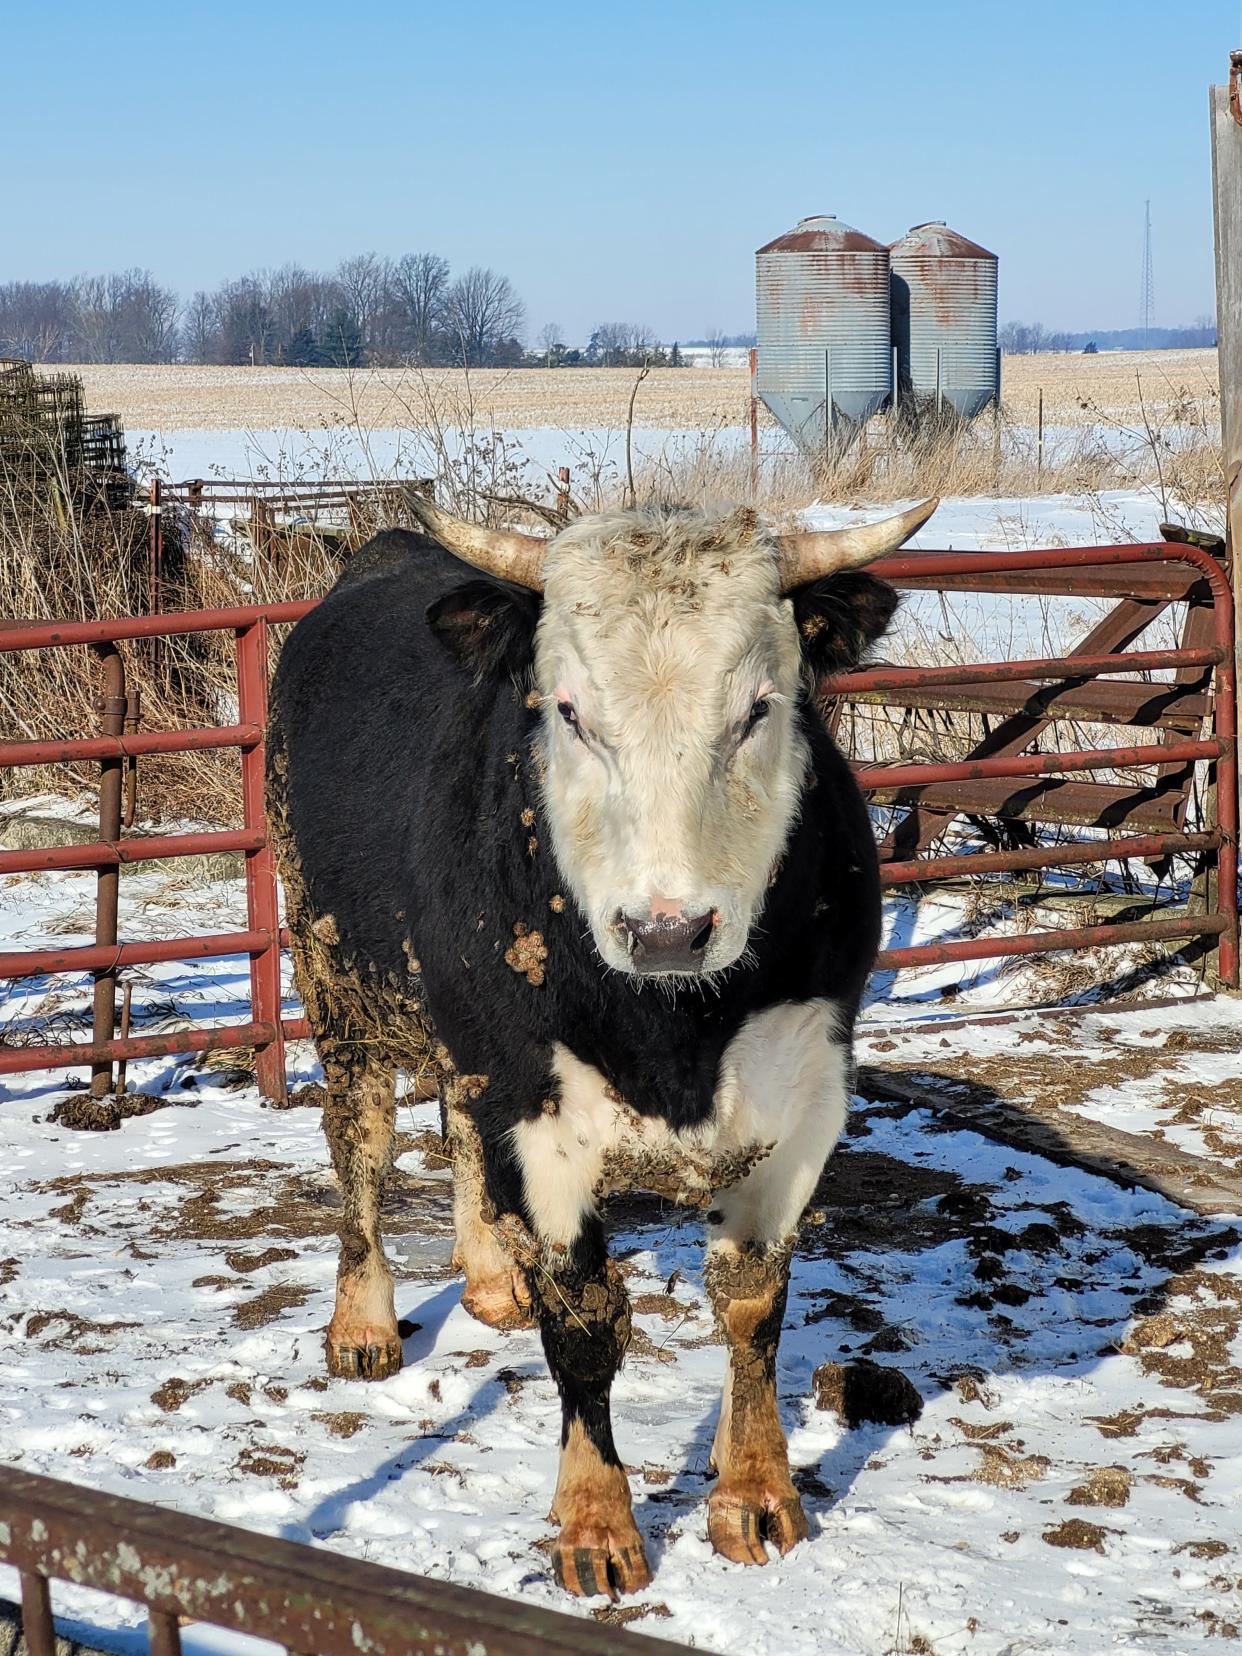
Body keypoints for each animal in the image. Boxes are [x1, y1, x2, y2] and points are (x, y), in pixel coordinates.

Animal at [268, 493, 940, 1603]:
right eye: (572, 712)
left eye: (759, 708)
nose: (667, 930)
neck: (677, 1035)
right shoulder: (540, 1115)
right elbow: (582, 1325)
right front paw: (596, 1523)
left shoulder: (805, 1101)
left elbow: (753, 1305)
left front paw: (755, 1497)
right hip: (337, 982)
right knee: (360, 1141)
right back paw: (362, 1321)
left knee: (457, 1123)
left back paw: (489, 1275)